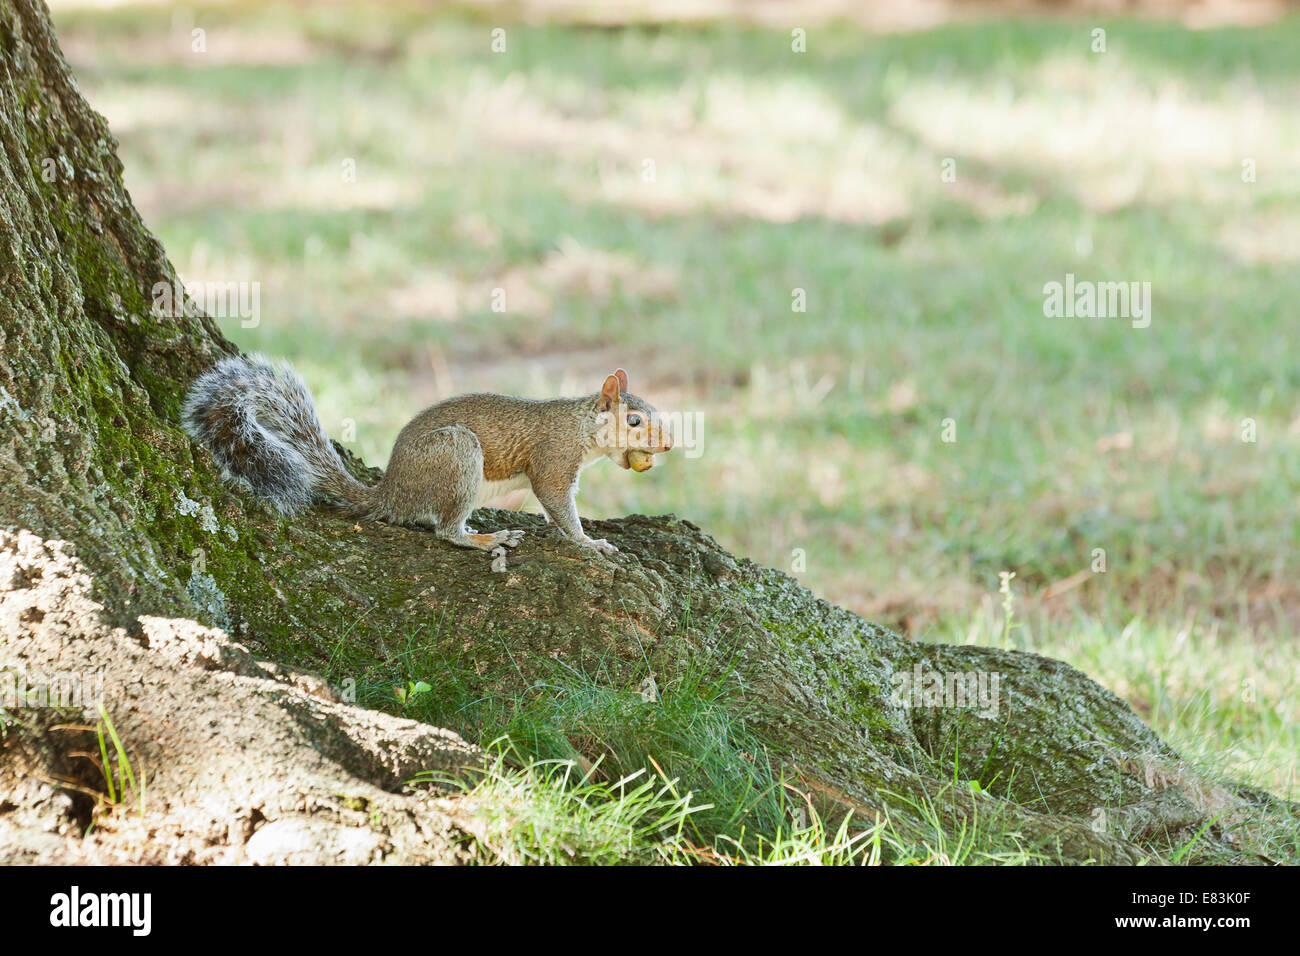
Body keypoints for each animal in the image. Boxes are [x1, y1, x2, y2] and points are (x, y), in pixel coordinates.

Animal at [180, 356, 670, 554]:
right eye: (633, 421)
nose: (666, 445)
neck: (581, 426)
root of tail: (390, 493)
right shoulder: (553, 459)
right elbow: (558, 504)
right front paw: (590, 543)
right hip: (457, 454)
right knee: (446, 530)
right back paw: (483, 538)